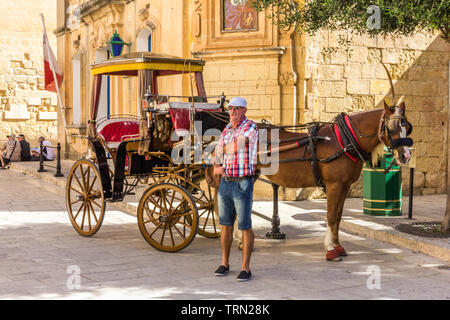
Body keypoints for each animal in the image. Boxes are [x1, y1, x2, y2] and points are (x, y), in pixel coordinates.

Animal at [206, 101, 414, 262]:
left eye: (408, 127)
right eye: (392, 128)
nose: (406, 156)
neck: (345, 140)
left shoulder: (344, 186)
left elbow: (338, 217)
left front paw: (338, 246)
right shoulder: (334, 186)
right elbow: (330, 217)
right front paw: (330, 249)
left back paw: (240, 240)